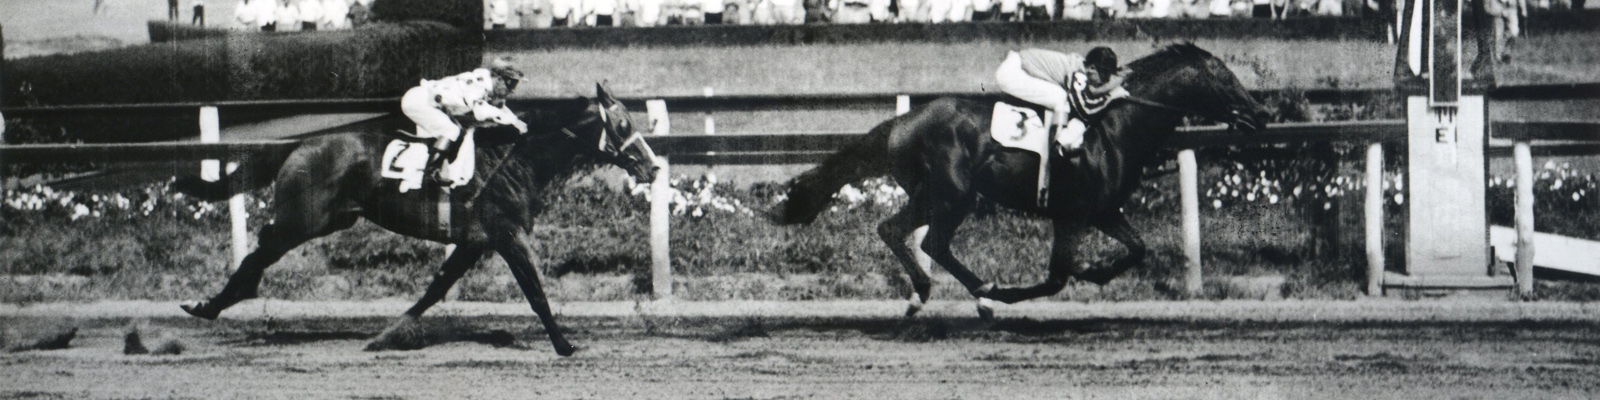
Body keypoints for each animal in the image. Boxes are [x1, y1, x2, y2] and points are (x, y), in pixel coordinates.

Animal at [172, 82, 652, 355]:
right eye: (623, 125)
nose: (652, 167)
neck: (515, 159)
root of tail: (300, 143)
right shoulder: (505, 233)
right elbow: (535, 292)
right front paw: (565, 345)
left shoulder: (474, 241)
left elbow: (435, 288)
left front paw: (388, 335)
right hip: (302, 220)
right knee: (260, 251)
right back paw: (208, 306)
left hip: (330, 220)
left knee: (262, 250)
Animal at [777, 43, 1273, 318]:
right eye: (1225, 80)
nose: (1262, 114)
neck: (1115, 128)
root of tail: (903, 122)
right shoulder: (1071, 216)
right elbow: (1057, 277)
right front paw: (1037, 285)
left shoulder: (1102, 211)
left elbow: (1137, 249)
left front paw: (1096, 271)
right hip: (954, 193)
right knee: (929, 241)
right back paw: (978, 294)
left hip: (931, 193)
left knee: (895, 230)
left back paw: (929, 295)